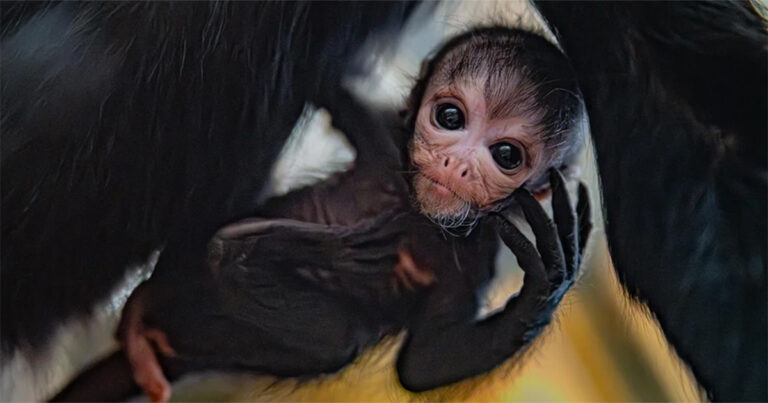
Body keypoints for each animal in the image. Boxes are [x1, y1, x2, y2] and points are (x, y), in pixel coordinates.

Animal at [54, 26, 592, 402]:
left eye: (506, 155)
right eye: (450, 117)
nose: (455, 164)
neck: (412, 208)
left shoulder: (479, 252)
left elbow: (423, 366)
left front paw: (547, 283)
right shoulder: (383, 137)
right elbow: (325, 84)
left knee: (338, 340)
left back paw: (252, 254)